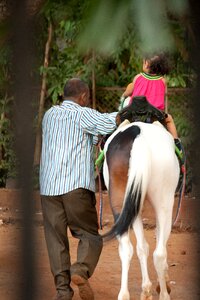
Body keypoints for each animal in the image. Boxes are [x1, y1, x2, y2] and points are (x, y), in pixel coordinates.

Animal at [102, 120, 179, 300]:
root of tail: (138, 134)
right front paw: (160, 284)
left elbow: (142, 247)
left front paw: (146, 289)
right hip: (164, 201)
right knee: (159, 253)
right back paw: (164, 294)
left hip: (120, 201)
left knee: (126, 248)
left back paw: (124, 294)